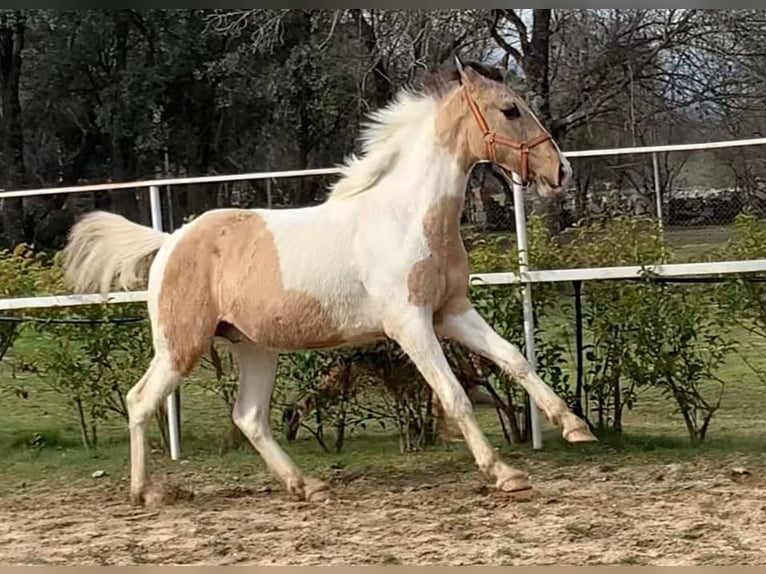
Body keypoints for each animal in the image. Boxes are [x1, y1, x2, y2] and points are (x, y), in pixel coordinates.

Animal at [63, 57, 596, 508]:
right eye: (510, 110)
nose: (562, 171)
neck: (406, 217)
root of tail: (170, 239)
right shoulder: (411, 325)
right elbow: (455, 396)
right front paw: (504, 473)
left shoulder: (451, 311)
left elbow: (514, 359)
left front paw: (575, 427)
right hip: (182, 346)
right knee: (140, 400)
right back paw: (146, 493)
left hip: (255, 347)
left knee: (249, 417)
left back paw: (307, 485)